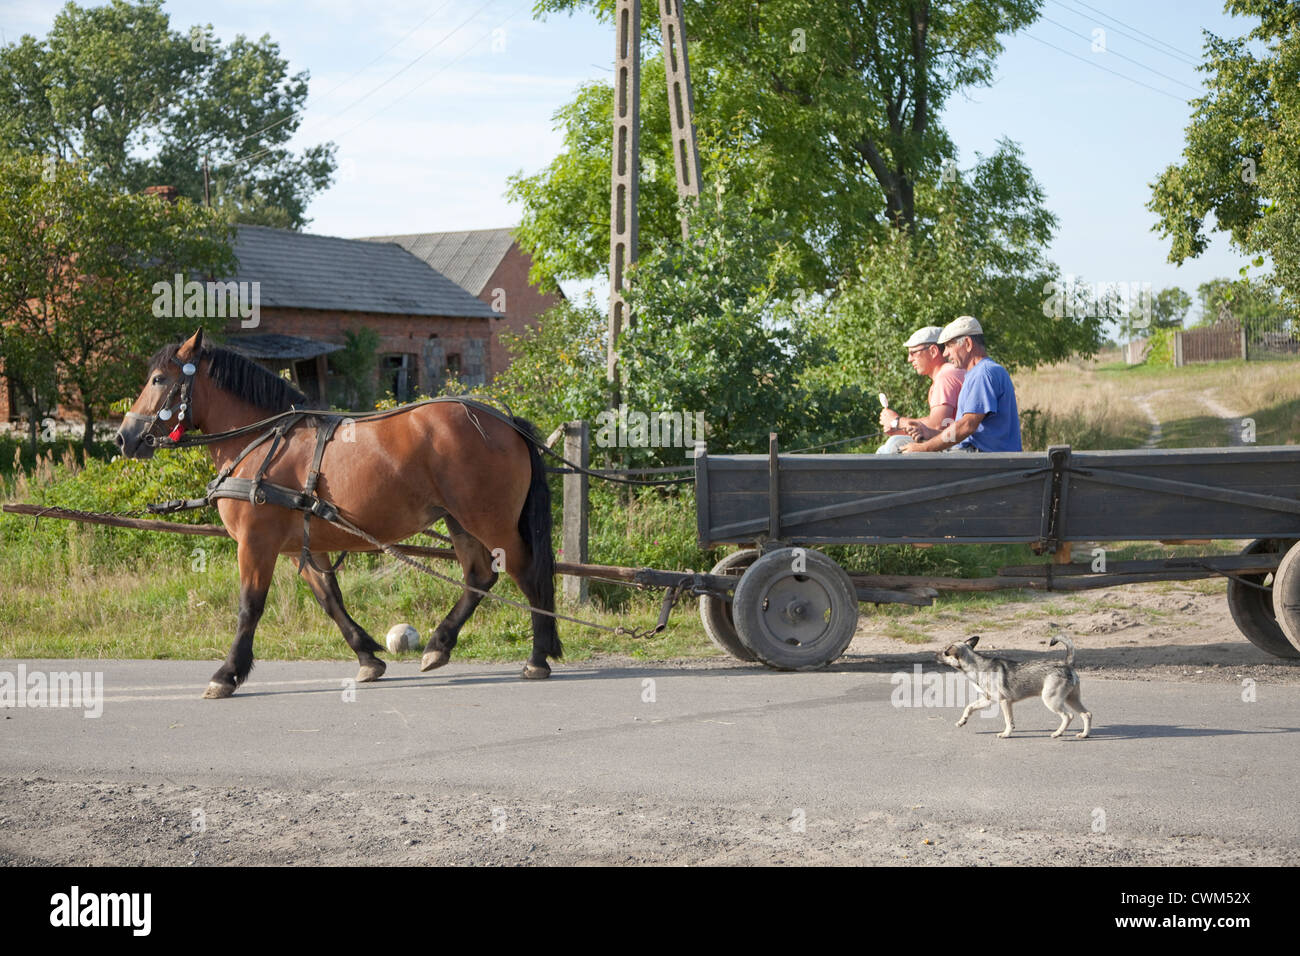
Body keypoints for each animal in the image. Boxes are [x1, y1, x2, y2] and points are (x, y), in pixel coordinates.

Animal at [111, 332, 559, 697]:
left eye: (159, 380)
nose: (123, 438)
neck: (261, 443)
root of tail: (506, 422)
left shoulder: (256, 543)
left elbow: (249, 607)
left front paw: (227, 673)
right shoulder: (300, 545)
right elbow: (329, 599)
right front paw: (368, 658)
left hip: (489, 519)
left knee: (527, 573)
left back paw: (537, 657)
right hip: (458, 519)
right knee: (479, 576)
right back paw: (439, 645)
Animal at [941, 634, 1092, 738]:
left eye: (944, 652)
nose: (936, 655)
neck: (978, 667)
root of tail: (1066, 664)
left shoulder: (1004, 702)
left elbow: (1008, 721)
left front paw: (1005, 734)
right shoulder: (988, 700)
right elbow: (969, 707)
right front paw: (962, 721)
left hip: (1051, 701)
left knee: (1068, 716)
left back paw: (1058, 733)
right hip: (1071, 699)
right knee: (1087, 714)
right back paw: (1084, 734)